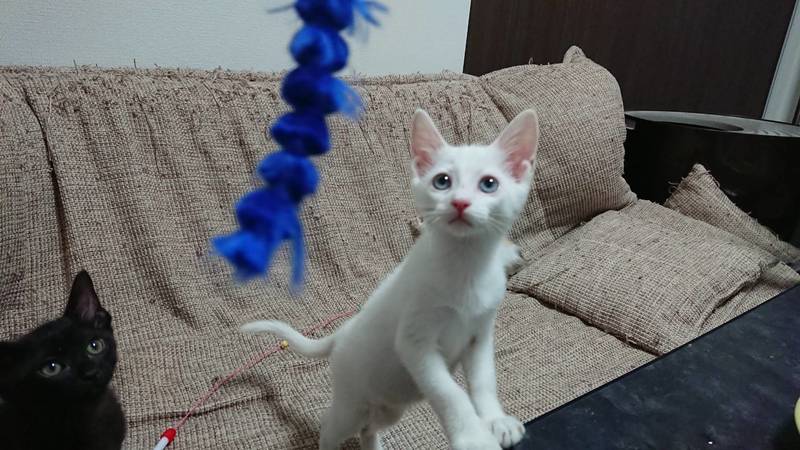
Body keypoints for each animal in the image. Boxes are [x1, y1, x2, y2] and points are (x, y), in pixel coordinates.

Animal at [243, 108, 539, 450]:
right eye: (442, 181)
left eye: (489, 184)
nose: (460, 202)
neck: (466, 266)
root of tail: (343, 332)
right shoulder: (414, 343)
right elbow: (450, 393)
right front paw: (473, 437)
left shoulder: (479, 337)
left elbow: (483, 382)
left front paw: (495, 420)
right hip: (352, 403)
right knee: (331, 426)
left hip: (390, 404)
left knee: (369, 428)